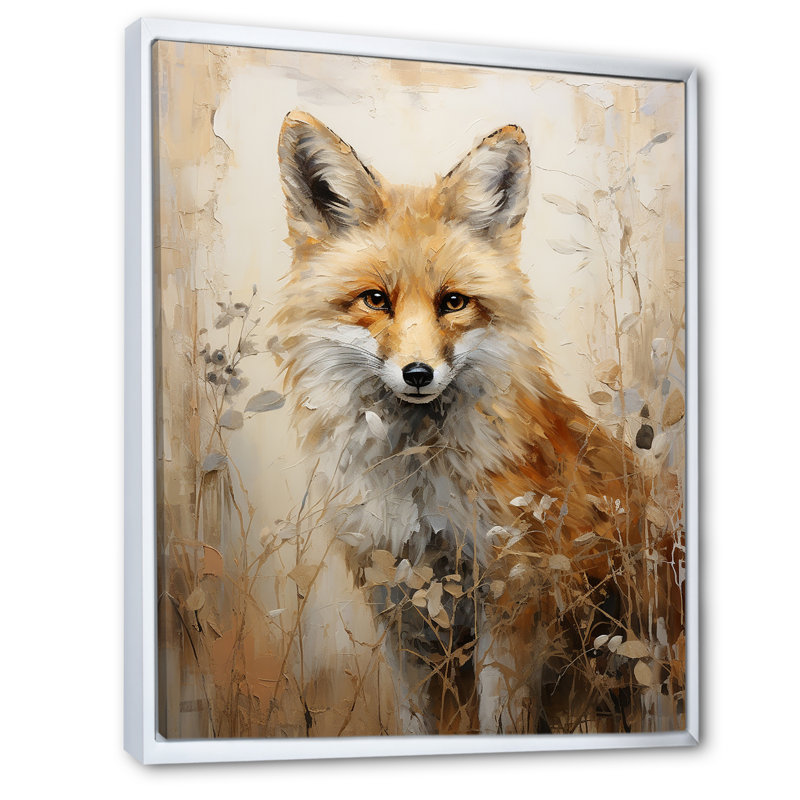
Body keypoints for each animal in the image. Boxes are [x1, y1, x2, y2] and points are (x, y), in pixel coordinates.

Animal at [273, 111, 667, 735]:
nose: (417, 373)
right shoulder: (399, 609)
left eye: (453, 302)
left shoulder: (511, 598)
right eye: (375, 300)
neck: (417, 485)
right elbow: (414, 722)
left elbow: (499, 719)